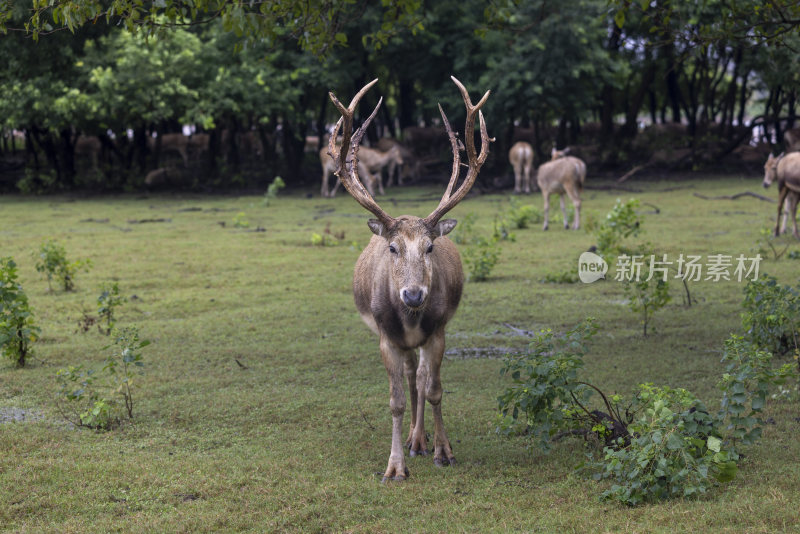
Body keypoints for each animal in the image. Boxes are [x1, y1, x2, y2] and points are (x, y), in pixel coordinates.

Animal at [328, 77, 490, 484]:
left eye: (430, 247)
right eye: (392, 248)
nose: (414, 295)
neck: (412, 320)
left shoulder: (439, 331)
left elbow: (434, 389)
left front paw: (444, 452)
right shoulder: (386, 338)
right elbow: (396, 401)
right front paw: (395, 467)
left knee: (420, 376)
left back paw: (422, 441)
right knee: (409, 375)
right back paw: (415, 442)